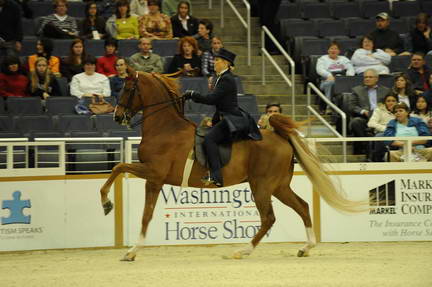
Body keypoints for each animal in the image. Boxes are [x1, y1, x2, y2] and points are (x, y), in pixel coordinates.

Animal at [101, 71, 368, 260]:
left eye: (128, 88)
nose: (117, 116)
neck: (165, 129)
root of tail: (280, 137)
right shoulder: (152, 175)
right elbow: (120, 171)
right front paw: (109, 208)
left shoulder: (154, 175)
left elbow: (137, 200)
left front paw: (128, 245)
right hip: (279, 186)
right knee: (302, 207)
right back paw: (306, 247)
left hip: (262, 186)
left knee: (269, 218)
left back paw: (243, 250)